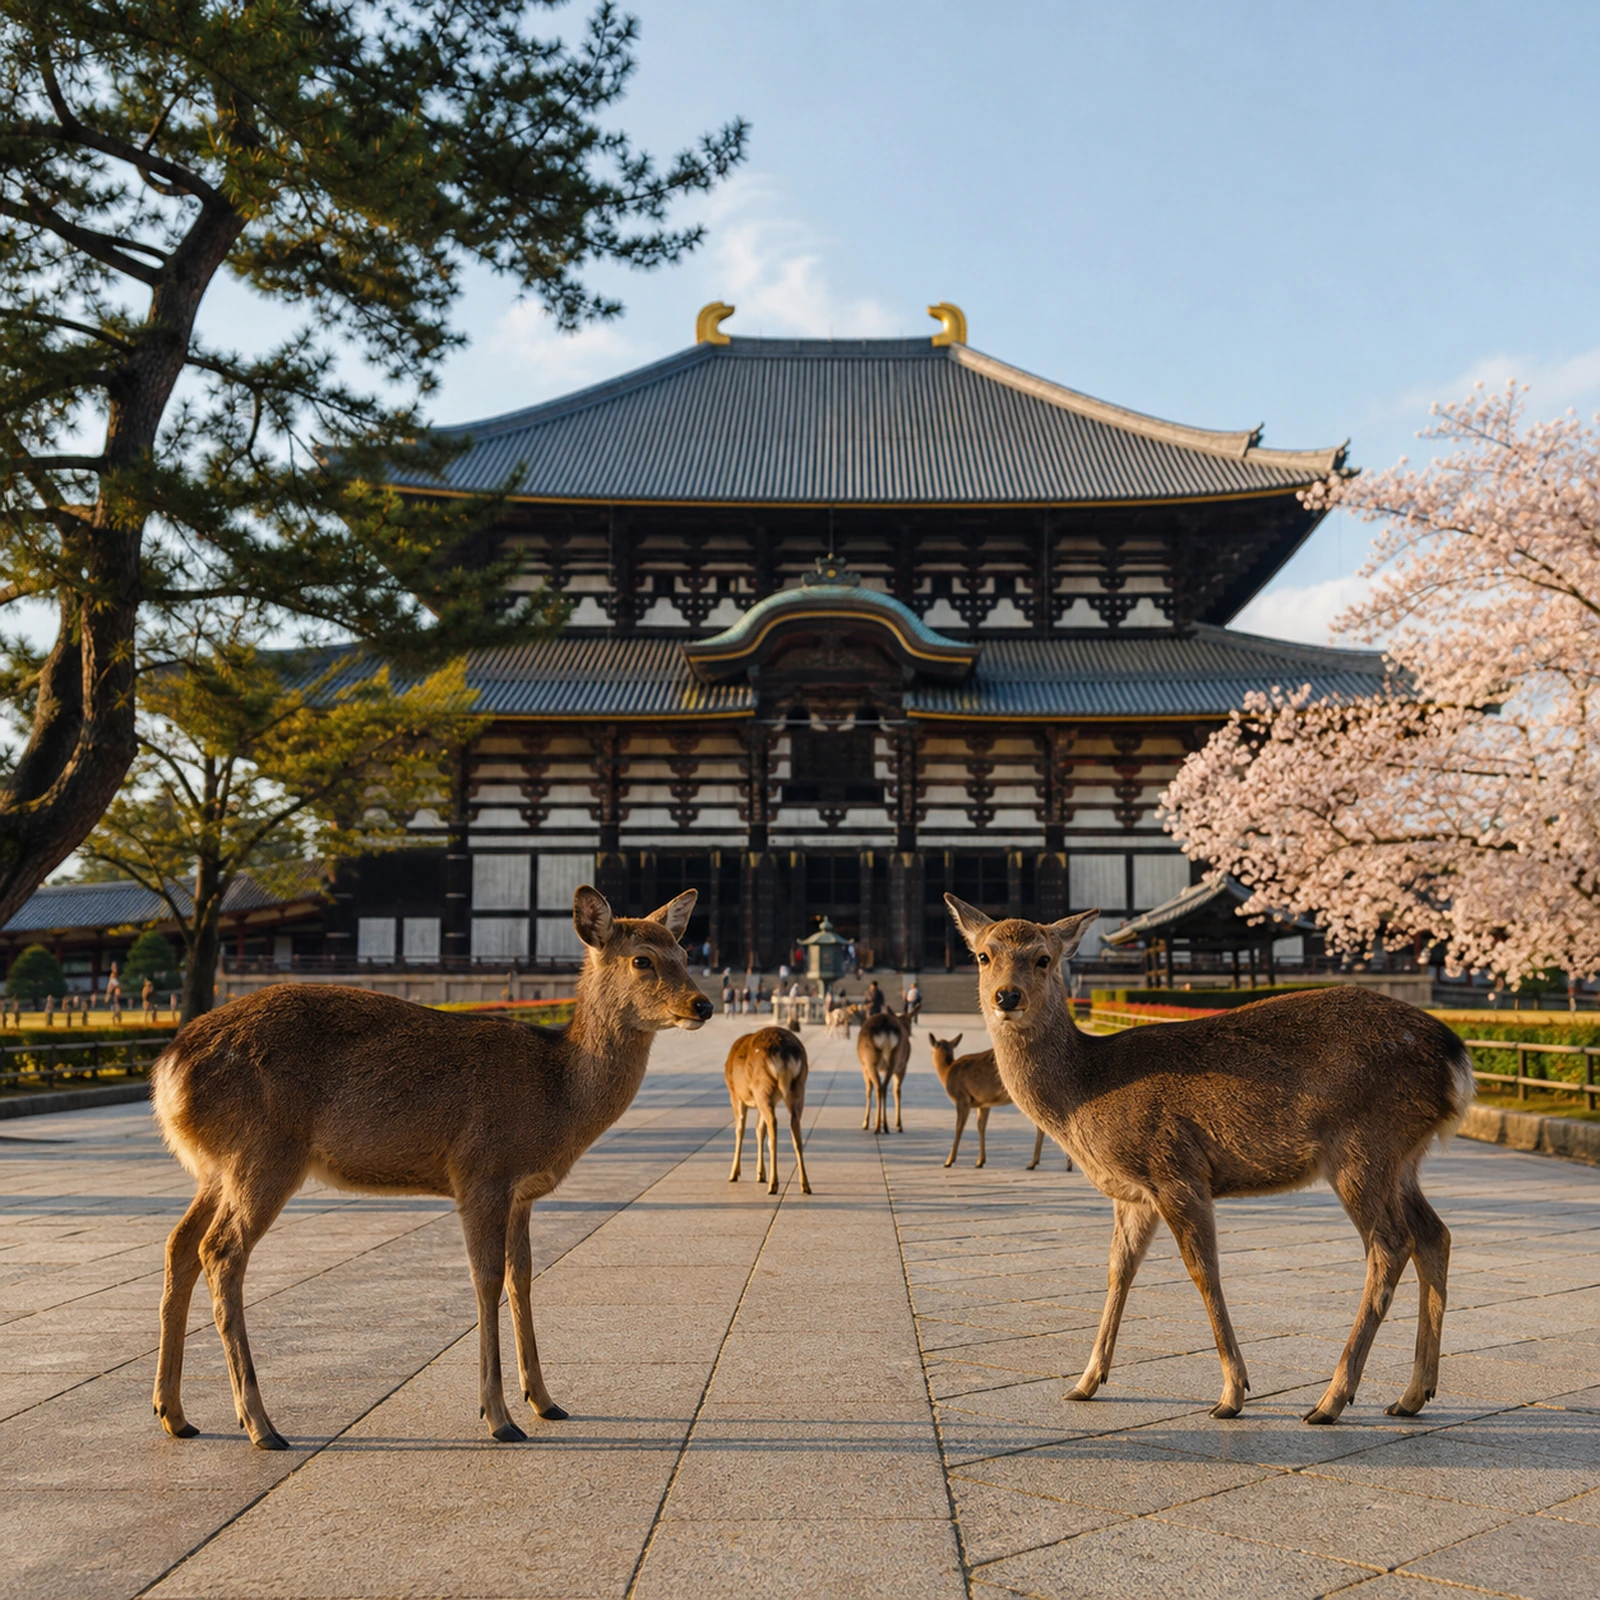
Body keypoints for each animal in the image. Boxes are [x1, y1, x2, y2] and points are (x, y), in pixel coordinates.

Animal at [150, 886, 713, 1450]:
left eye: (685, 954)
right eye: (642, 959)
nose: (702, 1004)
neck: (556, 1095)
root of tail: (168, 1069)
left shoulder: (522, 1192)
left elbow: (522, 1277)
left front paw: (545, 1401)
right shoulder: (481, 1172)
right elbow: (486, 1277)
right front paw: (498, 1416)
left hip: (216, 1168)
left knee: (180, 1243)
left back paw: (174, 1413)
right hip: (265, 1153)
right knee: (221, 1251)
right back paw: (260, 1424)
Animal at [725, 1025, 813, 1195]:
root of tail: (784, 1054)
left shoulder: (736, 1094)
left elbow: (740, 1129)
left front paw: (734, 1174)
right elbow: (759, 1130)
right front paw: (760, 1174)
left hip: (762, 1088)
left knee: (773, 1125)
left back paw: (773, 1185)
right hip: (798, 1087)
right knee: (795, 1127)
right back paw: (805, 1185)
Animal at [928, 1033, 1055, 1171]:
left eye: (931, 1050)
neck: (947, 1071)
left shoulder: (962, 1098)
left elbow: (959, 1127)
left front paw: (949, 1161)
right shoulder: (984, 1103)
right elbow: (981, 1126)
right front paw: (980, 1161)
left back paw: (1033, 1163)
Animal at [944, 896, 1474, 1426]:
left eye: (1043, 958)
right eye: (983, 956)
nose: (1006, 997)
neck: (1084, 1095)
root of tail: (1456, 1060)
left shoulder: (1175, 1169)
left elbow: (1203, 1271)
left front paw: (1232, 1393)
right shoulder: (1132, 1194)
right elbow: (1118, 1269)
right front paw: (1085, 1382)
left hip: (1362, 1149)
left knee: (1391, 1244)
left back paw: (1331, 1401)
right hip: (1403, 1158)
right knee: (1435, 1235)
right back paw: (1411, 1395)